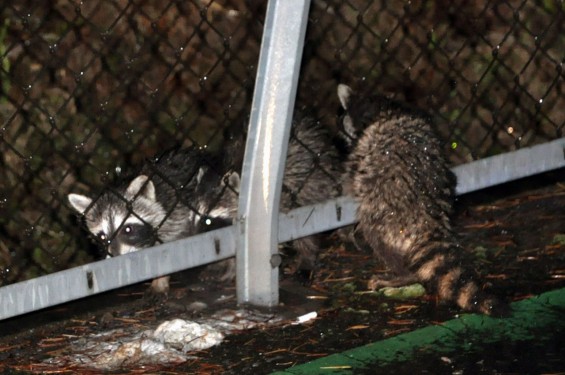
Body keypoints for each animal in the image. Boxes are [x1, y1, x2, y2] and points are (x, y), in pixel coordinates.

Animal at [338, 83, 504, 316]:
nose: (340, 135)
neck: (385, 109)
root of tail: (428, 214)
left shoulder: (362, 151)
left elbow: (349, 179)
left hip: (385, 209)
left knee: (375, 233)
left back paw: (402, 275)